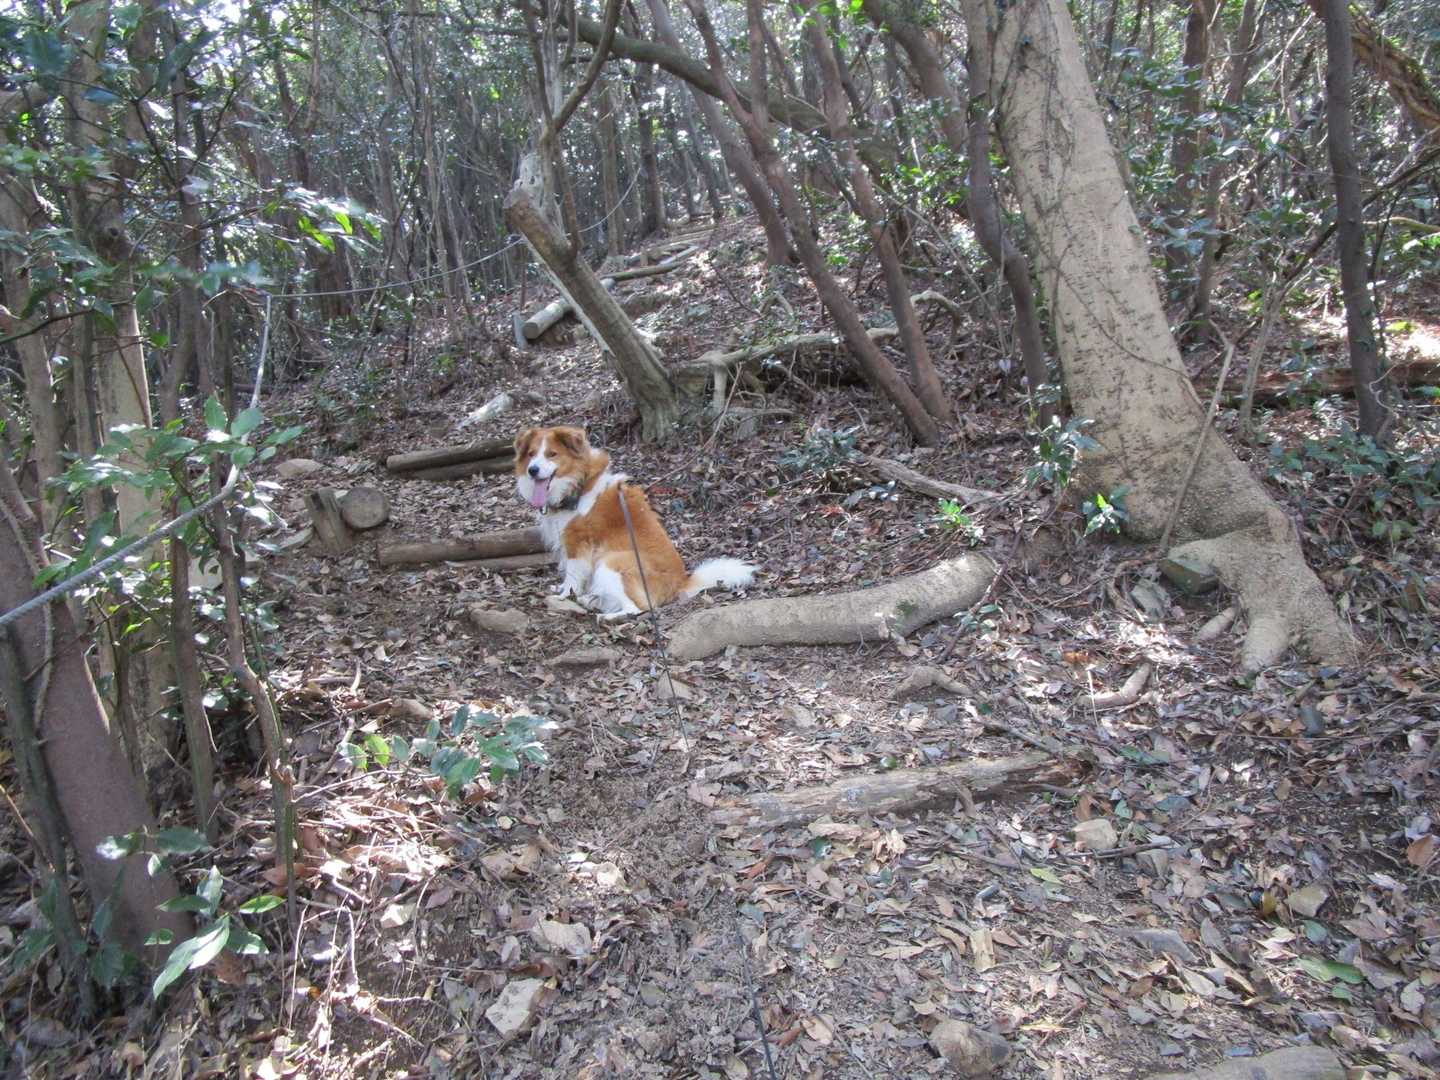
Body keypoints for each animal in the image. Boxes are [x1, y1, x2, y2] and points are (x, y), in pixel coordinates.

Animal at [514, 426, 755, 618]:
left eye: (552, 454)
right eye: (531, 454)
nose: (532, 470)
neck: (578, 484)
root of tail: (682, 582)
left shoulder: (577, 543)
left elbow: (573, 575)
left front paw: (565, 595)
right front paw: (564, 589)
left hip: (612, 562)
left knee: (638, 608)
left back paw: (607, 616)